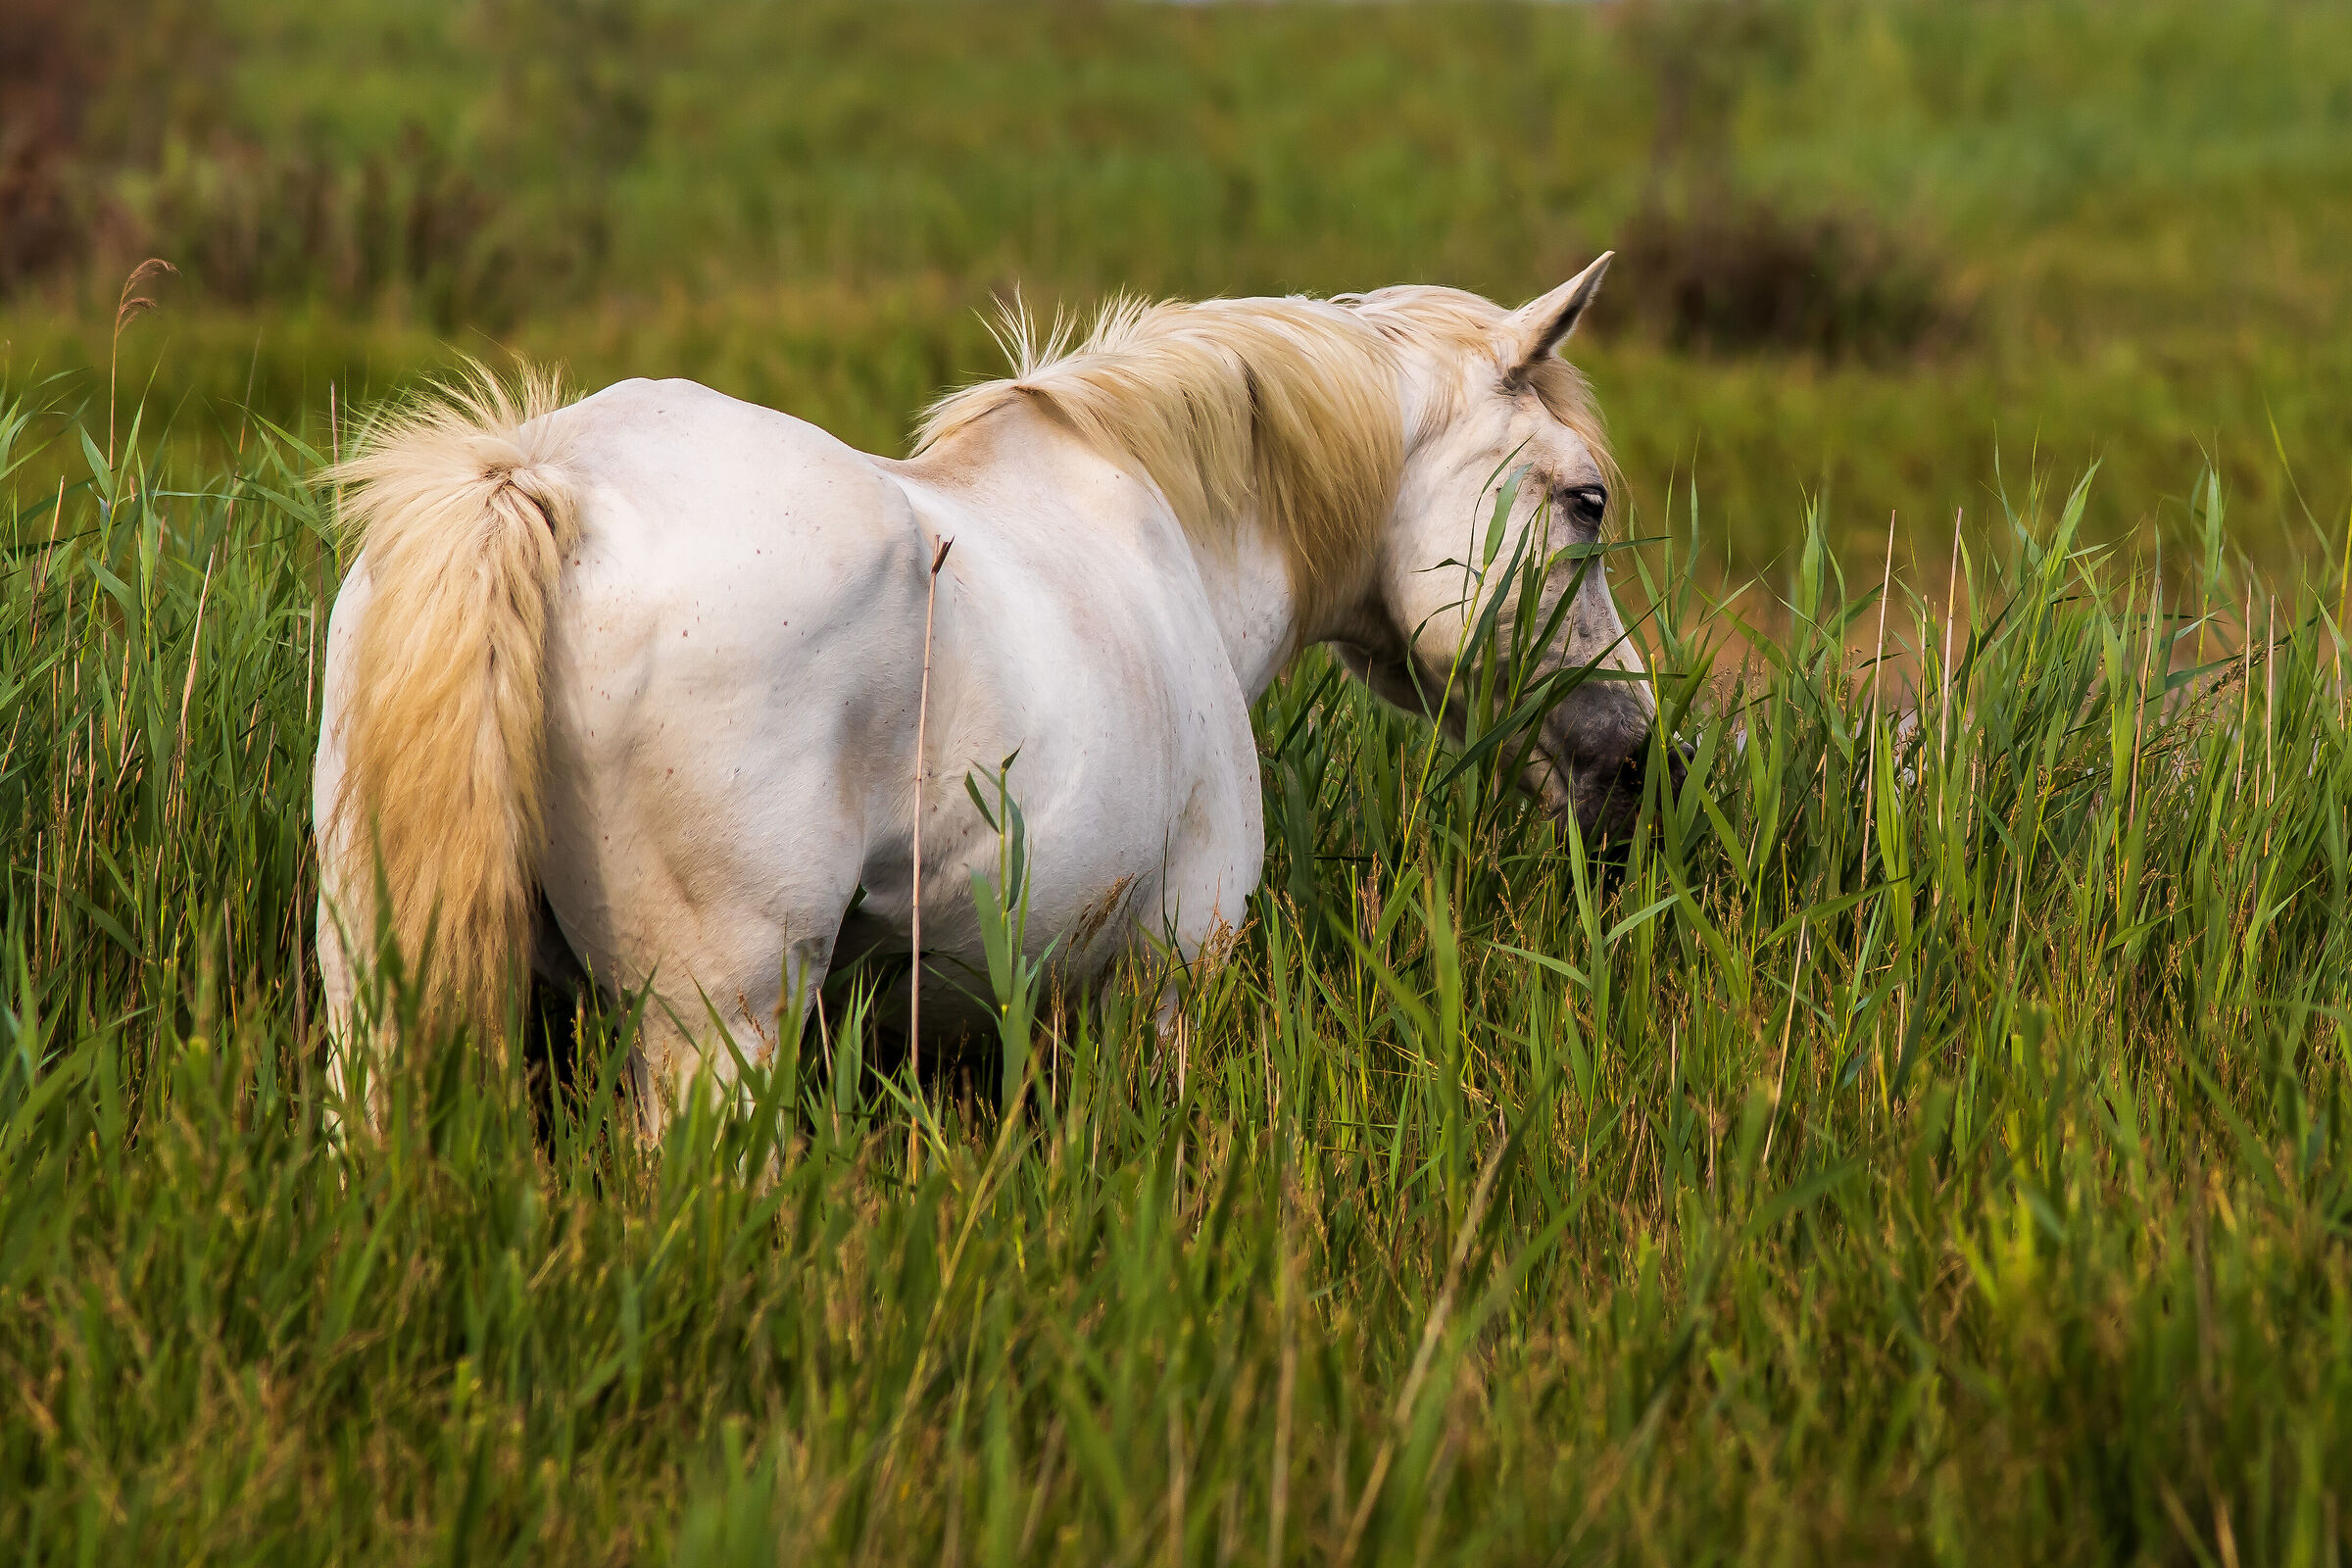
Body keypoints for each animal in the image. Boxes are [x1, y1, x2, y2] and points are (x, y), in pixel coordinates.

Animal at [313, 254, 1673, 1136]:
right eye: (1586, 499)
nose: (1634, 756)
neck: (1165, 525)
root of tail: (550, 480)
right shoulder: (1170, 974)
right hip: (719, 1035)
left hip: (374, 1002)